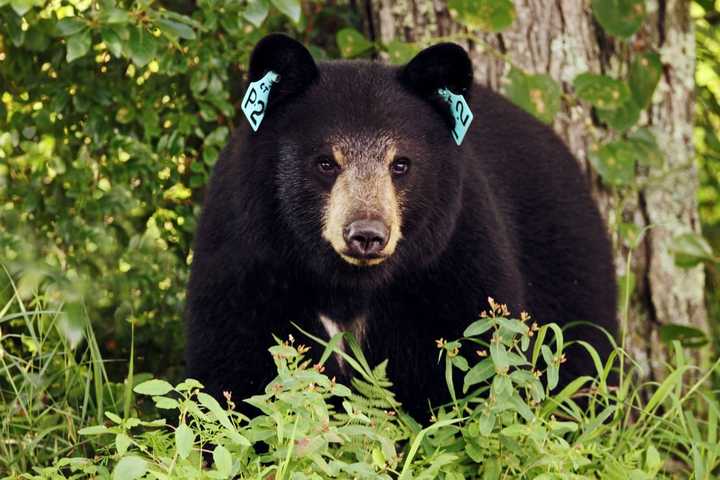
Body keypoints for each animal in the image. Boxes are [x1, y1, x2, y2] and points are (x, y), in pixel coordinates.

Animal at [186, 32, 620, 420]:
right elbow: (237, 373)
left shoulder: (452, 261)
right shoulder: (249, 260)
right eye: (325, 162)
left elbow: (476, 364)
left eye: (401, 164)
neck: (348, 285)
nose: (366, 235)